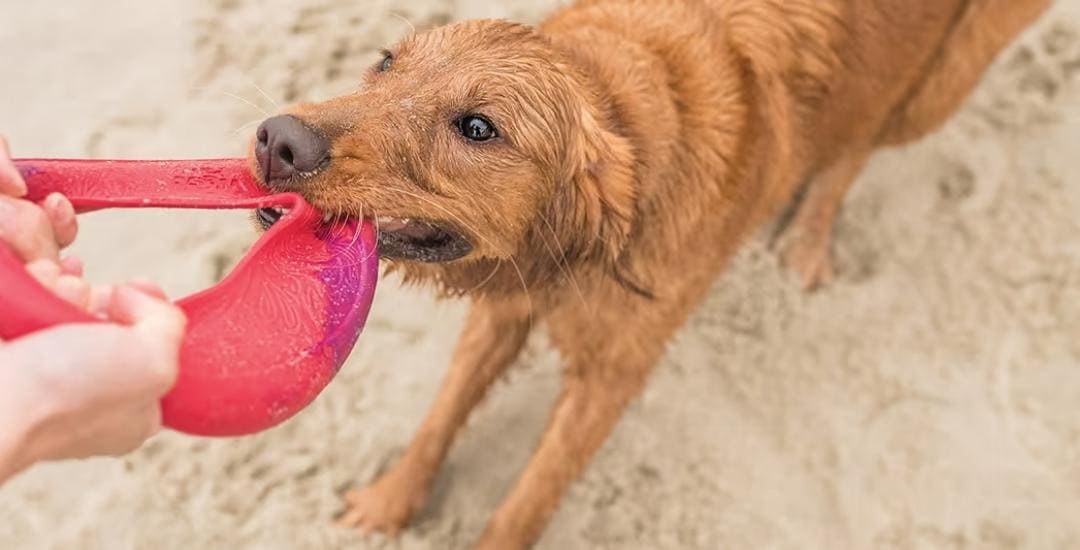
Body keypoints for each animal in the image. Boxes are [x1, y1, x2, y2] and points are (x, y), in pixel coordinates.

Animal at [250, 2, 1045, 546]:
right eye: (386, 62)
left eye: (478, 128)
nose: (279, 140)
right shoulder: (505, 305)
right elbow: (442, 415)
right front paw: (388, 502)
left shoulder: (615, 373)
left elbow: (533, 491)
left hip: (942, 83)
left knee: (859, 146)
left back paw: (810, 237)